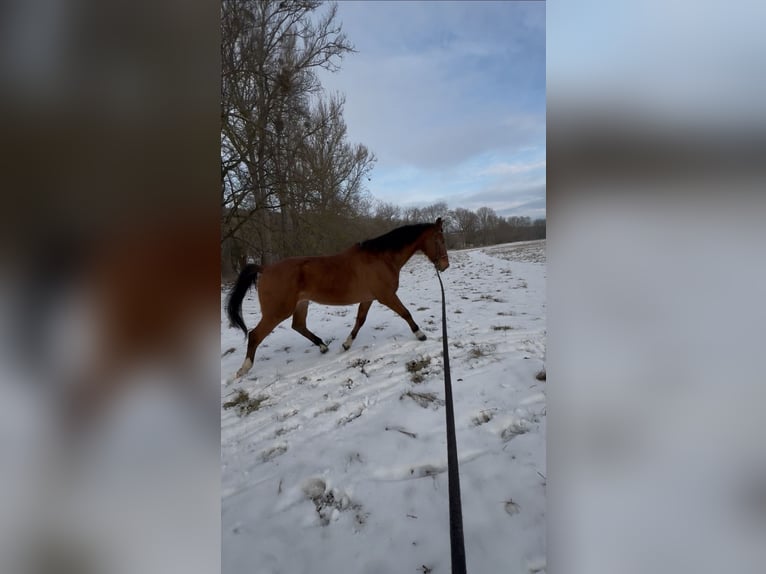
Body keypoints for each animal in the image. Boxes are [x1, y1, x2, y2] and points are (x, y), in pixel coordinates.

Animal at [226, 218, 450, 378]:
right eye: (440, 240)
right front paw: (420, 334)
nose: (445, 266)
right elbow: (405, 313)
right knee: (255, 335)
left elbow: (360, 321)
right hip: (277, 311)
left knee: (298, 325)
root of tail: (265, 268)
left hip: (301, 304)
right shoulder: (386, 296)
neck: (382, 258)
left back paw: (323, 346)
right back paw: (243, 369)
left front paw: (346, 344)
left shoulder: (368, 298)